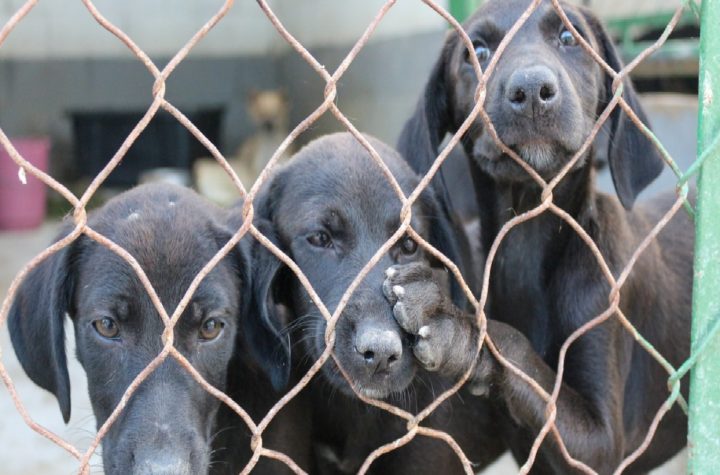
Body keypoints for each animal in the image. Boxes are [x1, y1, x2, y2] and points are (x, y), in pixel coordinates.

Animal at [390, 1, 696, 474]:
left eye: (569, 38)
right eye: (477, 51)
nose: (532, 90)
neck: (527, 247)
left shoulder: (601, 443)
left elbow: (517, 351)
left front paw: (455, 325)